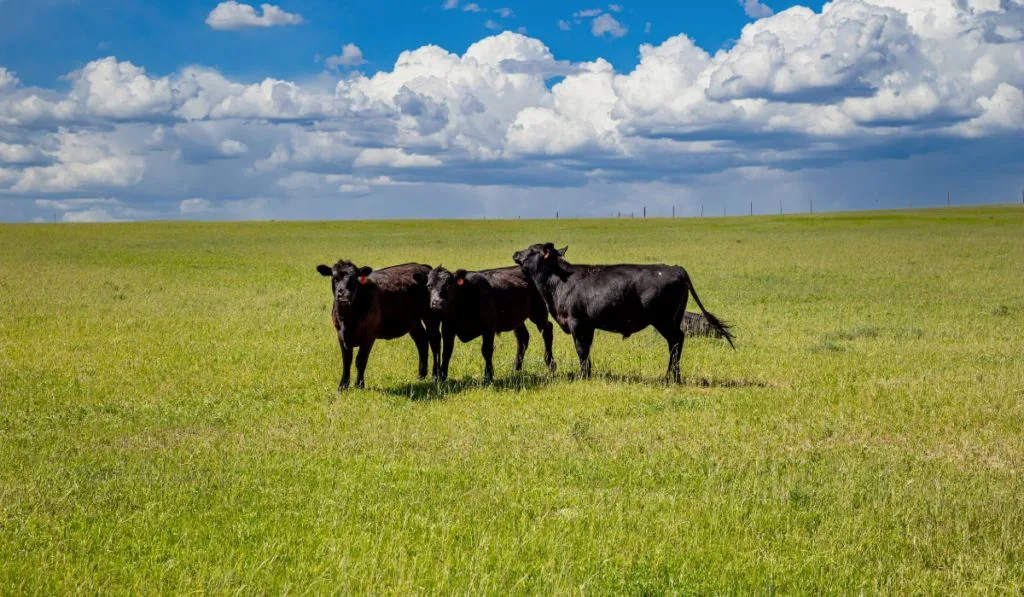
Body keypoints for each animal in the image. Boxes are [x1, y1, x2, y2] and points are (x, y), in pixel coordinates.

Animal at [313, 259, 438, 389]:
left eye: (354, 279)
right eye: (334, 278)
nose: (343, 296)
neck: (347, 320)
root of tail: (423, 266)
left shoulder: (369, 335)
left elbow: (360, 360)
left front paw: (359, 385)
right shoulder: (340, 334)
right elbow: (346, 361)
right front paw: (343, 386)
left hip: (431, 316)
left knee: (435, 343)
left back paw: (436, 376)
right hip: (413, 321)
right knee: (422, 341)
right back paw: (421, 376)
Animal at [423, 266, 557, 382]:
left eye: (449, 285)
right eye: (429, 285)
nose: (437, 302)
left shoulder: (488, 328)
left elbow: (486, 350)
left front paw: (488, 375)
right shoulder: (448, 329)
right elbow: (447, 352)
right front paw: (442, 376)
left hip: (539, 312)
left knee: (547, 331)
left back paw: (550, 363)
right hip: (517, 318)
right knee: (523, 337)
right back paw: (516, 368)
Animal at [516, 242, 733, 382]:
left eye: (532, 249)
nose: (516, 253)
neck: (560, 281)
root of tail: (675, 269)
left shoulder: (578, 323)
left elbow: (581, 349)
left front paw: (582, 375)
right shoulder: (589, 326)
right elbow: (587, 350)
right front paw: (588, 373)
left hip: (663, 320)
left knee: (676, 340)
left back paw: (671, 377)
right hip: (674, 318)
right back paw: (673, 376)